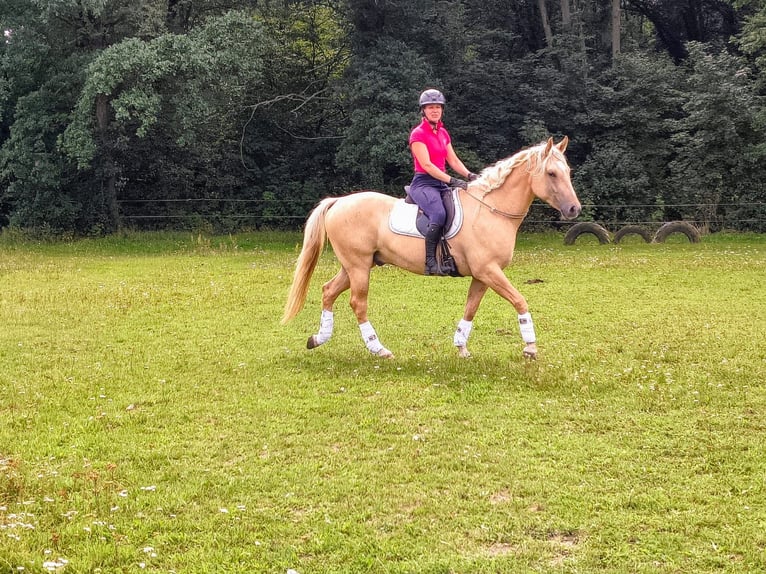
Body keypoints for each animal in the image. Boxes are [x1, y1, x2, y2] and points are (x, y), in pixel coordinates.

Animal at [281, 137, 580, 360]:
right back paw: (378, 349)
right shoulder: (490, 271)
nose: (574, 209)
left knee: (328, 291)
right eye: (551, 173)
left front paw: (461, 347)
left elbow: (471, 308)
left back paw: (317, 338)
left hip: (357, 265)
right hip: (358, 266)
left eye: (568, 172)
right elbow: (519, 300)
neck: (490, 210)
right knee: (358, 303)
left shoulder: (482, 275)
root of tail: (338, 202)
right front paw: (530, 347)